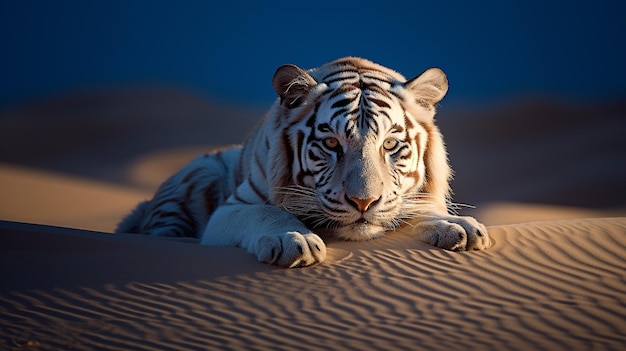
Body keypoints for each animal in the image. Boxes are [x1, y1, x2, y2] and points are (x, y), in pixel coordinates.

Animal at [116, 57, 488, 266]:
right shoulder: (231, 210)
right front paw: (293, 240)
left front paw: (458, 227)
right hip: (197, 176)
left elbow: (419, 209)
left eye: (390, 144)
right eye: (331, 143)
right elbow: (266, 212)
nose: (364, 202)